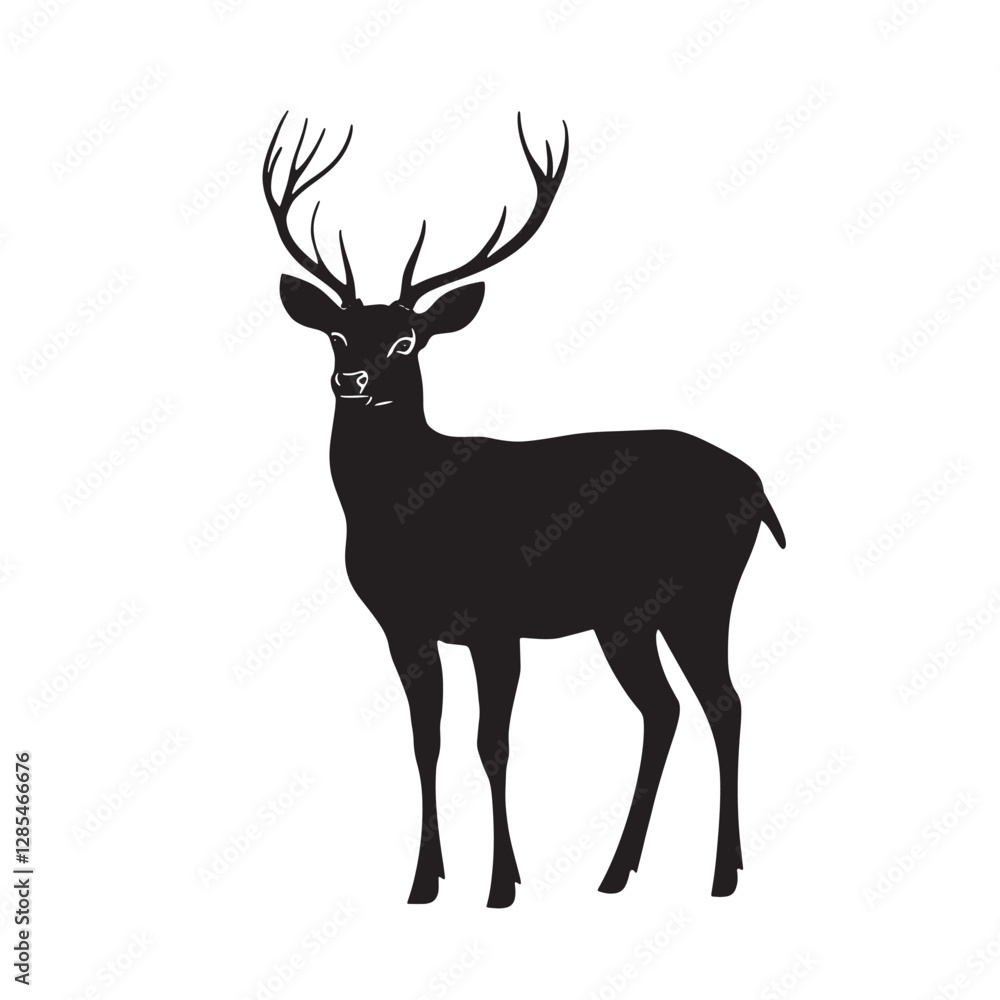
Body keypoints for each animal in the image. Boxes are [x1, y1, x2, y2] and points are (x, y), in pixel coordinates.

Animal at [261, 111, 786, 908]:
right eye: (336, 333)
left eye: (407, 339)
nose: (351, 380)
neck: (406, 512)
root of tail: (759, 486)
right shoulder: (403, 626)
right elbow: (426, 742)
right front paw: (425, 882)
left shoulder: (494, 619)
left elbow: (493, 744)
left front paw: (503, 884)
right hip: (628, 617)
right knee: (664, 710)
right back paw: (618, 873)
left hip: (704, 590)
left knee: (723, 703)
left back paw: (723, 874)